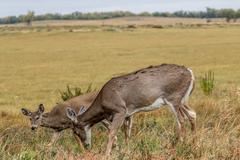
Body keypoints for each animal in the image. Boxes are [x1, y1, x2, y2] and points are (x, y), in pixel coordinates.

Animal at [66, 63, 197, 156]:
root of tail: (190, 73)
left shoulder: (120, 110)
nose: (85, 147)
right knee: (192, 114)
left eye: (75, 131)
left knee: (181, 119)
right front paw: (127, 151)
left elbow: (112, 132)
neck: (103, 102)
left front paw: (106, 154)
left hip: (174, 98)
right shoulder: (129, 114)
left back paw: (180, 146)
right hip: (182, 100)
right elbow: (127, 133)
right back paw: (193, 143)